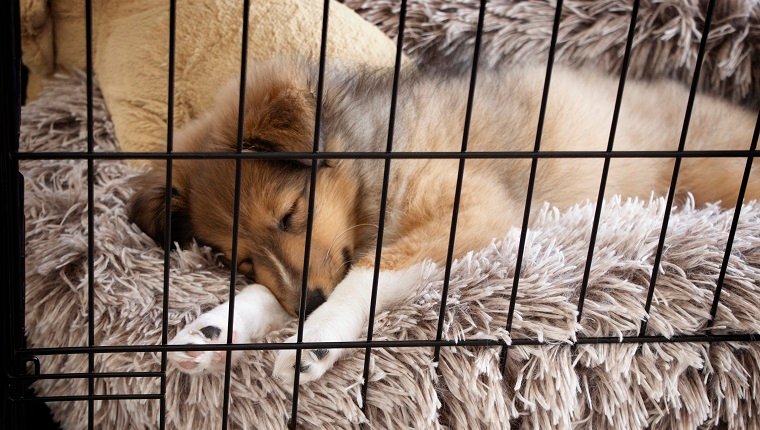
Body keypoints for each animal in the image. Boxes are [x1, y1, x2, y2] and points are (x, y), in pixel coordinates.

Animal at [127, 57, 756, 382]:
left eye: (291, 214)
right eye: (239, 258)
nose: (306, 305)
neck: (372, 159)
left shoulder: (471, 209)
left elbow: (369, 275)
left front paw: (317, 337)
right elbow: (277, 290)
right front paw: (212, 331)